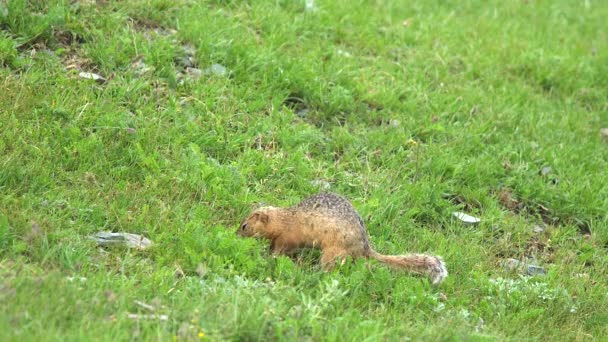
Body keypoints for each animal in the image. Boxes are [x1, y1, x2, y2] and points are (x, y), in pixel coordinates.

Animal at [238, 192, 446, 284]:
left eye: (244, 226)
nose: (236, 235)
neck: (286, 219)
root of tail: (365, 247)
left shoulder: (287, 238)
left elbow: (281, 249)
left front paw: (270, 256)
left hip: (332, 251)